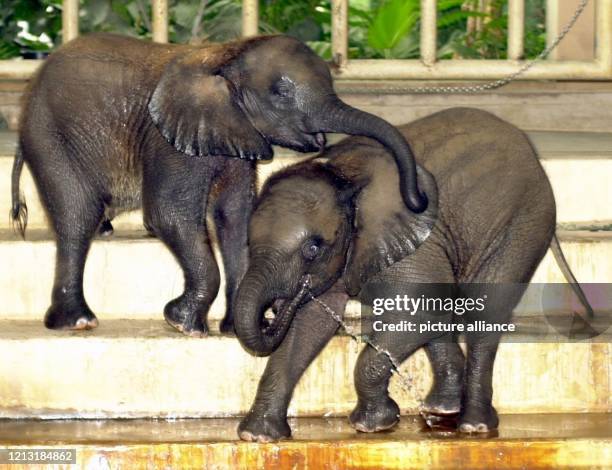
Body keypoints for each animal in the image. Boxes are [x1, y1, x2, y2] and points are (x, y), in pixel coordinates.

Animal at [13, 33, 426, 334]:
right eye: (281, 92)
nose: (417, 198)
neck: (226, 55)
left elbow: (235, 219)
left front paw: (233, 330)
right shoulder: (168, 142)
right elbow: (170, 215)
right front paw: (182, 324)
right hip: (50, 135)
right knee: (76, 216)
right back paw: (78, 322)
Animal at [234, 107, 592, 440]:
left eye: (312, 248)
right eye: (248, 243)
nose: (275, 308)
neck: (343, 175)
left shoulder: (418, 244)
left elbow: (418, 311)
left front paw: (374, 424)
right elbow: (309, 324)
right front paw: (257, 436)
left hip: (521, 222)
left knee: (484, 308)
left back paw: (473, 426)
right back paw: (443, 408)